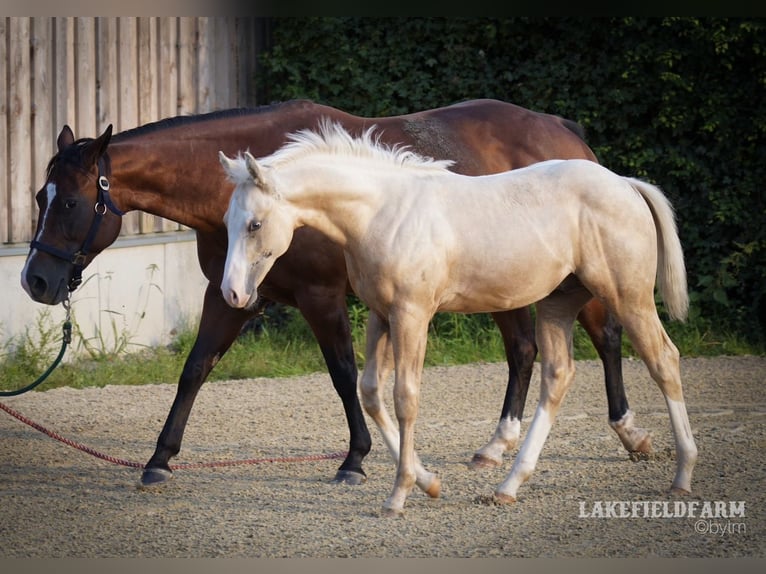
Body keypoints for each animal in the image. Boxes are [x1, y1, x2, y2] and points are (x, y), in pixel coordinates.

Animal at [19, 98, 650, 489]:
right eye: (38, 196)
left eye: (70, 201)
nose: (35, 281)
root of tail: (563, 130)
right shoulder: (229, 296)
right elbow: (195, 369)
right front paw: (159, 459)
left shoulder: (321, 297)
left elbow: (344, 374)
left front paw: (355, 459)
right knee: (522, 350)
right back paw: (497, 446)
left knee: (608, 336)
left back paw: (629, 432)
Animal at [218, 121, 697, 515]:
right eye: (227, 220)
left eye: (255, 224)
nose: (233, 293)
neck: (383, 212)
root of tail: (625, 184)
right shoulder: (381, 315)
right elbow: (371, 393)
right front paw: (429, 482)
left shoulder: (412, 314)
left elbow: (405, 397)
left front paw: (399, 496)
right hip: (558, 304)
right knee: (558, 377)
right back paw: (507, 486)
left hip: (627, 296)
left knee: (664, 360)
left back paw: (682, 475)